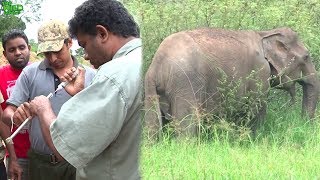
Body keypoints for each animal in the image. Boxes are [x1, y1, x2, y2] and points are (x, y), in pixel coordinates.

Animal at [145, 27, 320, 139]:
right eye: (306, 57)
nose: (304, 126)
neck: (265, 33)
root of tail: (158, 64)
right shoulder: (259, 72)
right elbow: (257, 109)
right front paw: (254, 139)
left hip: (151, 88)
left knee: (153, 125)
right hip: (185, 84)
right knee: (187, 124)